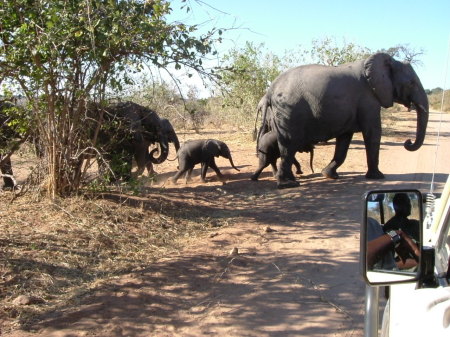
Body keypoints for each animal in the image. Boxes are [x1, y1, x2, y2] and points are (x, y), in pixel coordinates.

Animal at [262, 52, 430, 189]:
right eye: (411, 83)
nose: (407, 142)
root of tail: (270, 90)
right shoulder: (368, 99)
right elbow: (373, 132)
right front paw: (378, 177)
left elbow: (344, 140)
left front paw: (329, 175)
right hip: (288, 111)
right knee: (289, 144)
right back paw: (287, 185)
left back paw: (290, 180)